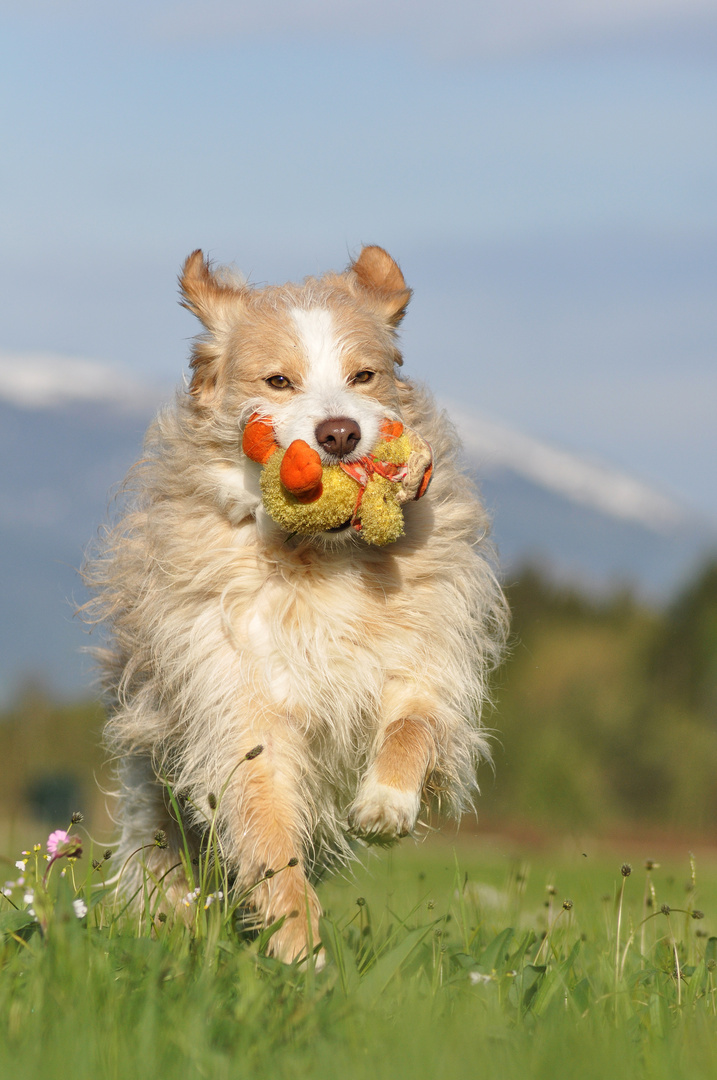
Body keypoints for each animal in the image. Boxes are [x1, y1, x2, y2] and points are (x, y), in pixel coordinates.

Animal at [86, 245, 507, 963]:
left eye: (364, 375)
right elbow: (268, 837)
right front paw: (299, 948)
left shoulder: (425, 659)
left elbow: (412, 725)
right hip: (155, 796)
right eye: (278, 381)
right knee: (163, 869)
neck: (321, 559)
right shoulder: (241, 708)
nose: (338, 433)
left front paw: (387, 804)